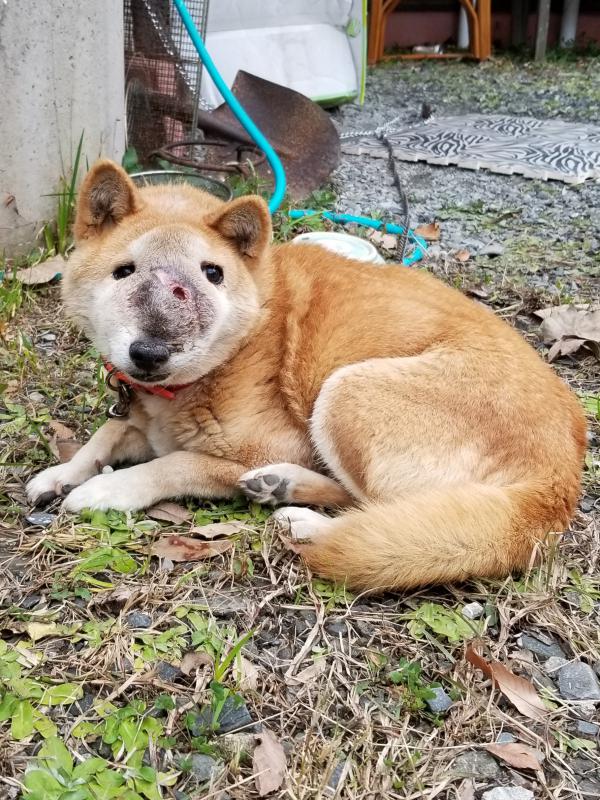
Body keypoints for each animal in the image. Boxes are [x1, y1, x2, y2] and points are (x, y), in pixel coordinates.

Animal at [27, 159, 584, 592]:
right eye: (125, 271)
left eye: (211, 274)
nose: (150, 352)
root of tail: (559, 480)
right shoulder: (141, 417)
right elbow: (107, 433)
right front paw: (62, 472)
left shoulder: (266, 444)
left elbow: (175, 464)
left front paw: (108, 491)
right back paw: (280, 488)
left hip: (346, 394)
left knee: (378, 510)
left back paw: (301, 516)